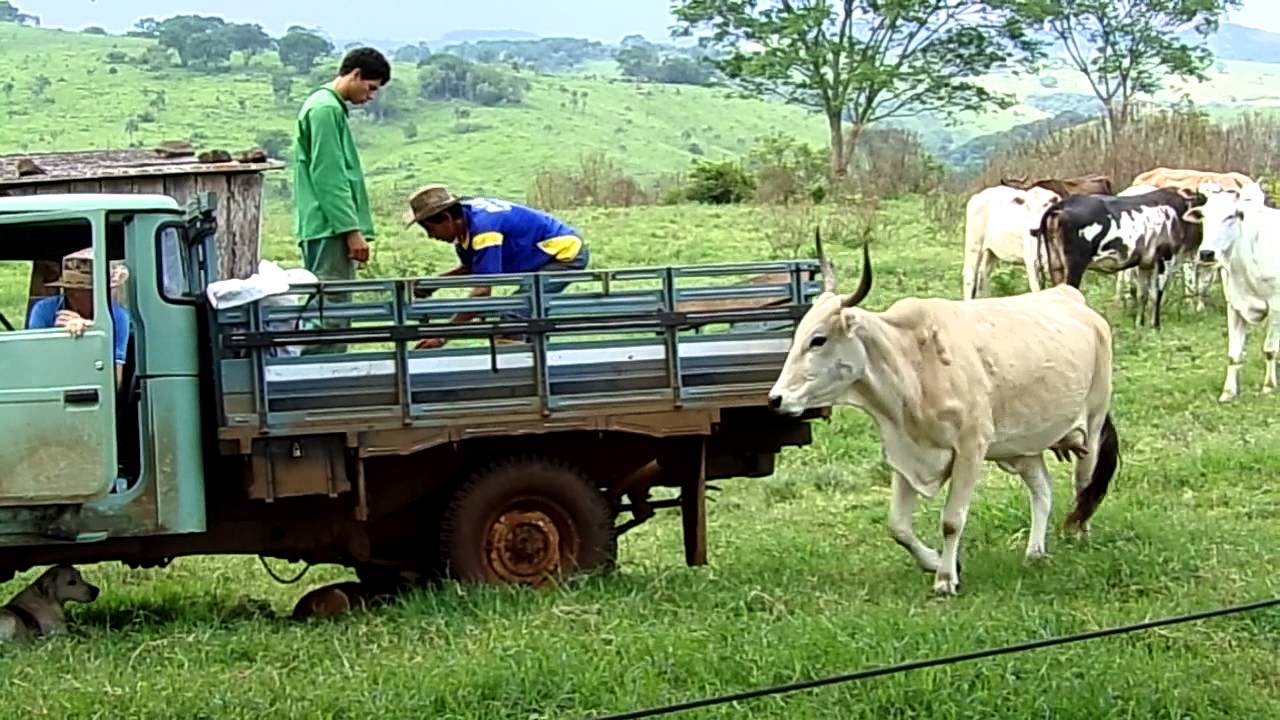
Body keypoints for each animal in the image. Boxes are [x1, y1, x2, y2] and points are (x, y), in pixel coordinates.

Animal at [767, 232, 1120, 596]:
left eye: (818, 339)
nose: (776, 399)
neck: (913, 364)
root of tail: (1072, 299)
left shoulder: (970, 449)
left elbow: (952, 520)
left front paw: (946, 579)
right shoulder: (906, 453)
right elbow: (898, 527)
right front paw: (935, 561)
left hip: (1091, 428)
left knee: (1083, 486)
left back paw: (1079, 534)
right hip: (1022, 449)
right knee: (1043, 490)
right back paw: (1035, 552)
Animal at [1036, 186, 1203, 329]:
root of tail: (1064, 204)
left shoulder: (1146, 263)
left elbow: (1143, 294)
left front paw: (1140, 324)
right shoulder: (1165, 258)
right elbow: (1157, 294)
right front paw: (1155, 325)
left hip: (1056, 264)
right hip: (1075, 265)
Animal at [1181, 181, 1279, 403]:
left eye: (1231, 215)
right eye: (1204, 216)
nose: (1206, 253)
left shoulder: (1276, 307)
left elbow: (1270, 349)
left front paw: (1269, 387)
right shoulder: (1235, 306)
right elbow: (1233, 354)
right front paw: (1228, 392)